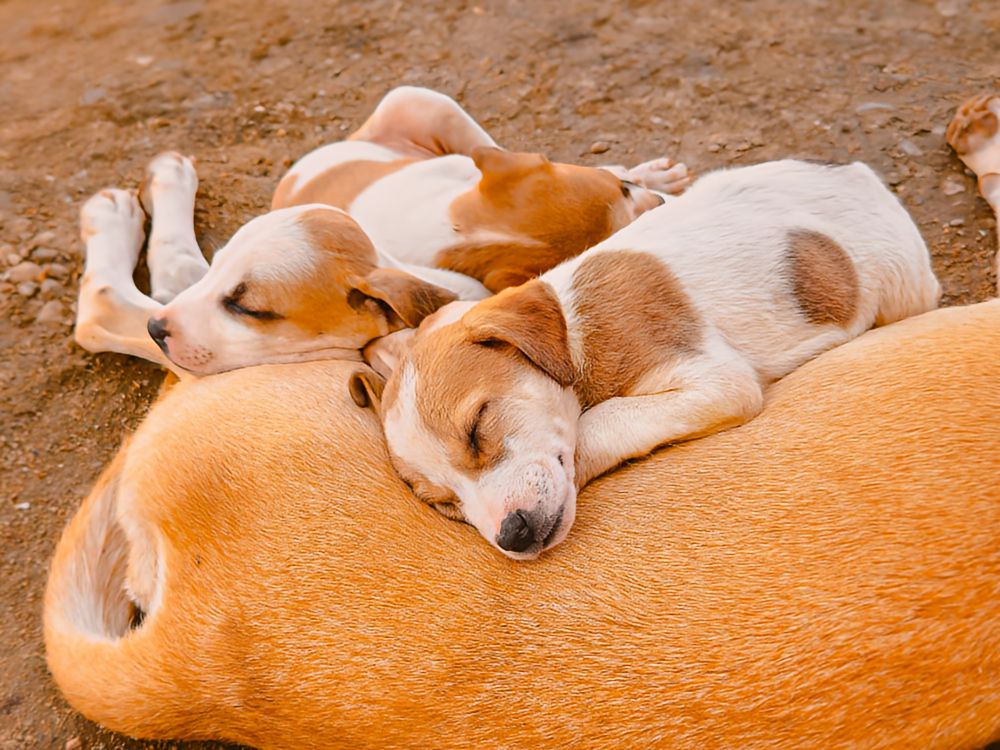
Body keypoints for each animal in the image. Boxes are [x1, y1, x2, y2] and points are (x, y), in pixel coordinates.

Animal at [354, 160, 944, 560]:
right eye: (445, 505)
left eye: (477, 429)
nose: (513, 536)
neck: (576, 335)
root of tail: (861, 176)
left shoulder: (715, 379)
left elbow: (600, 421)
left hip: (902, 293)